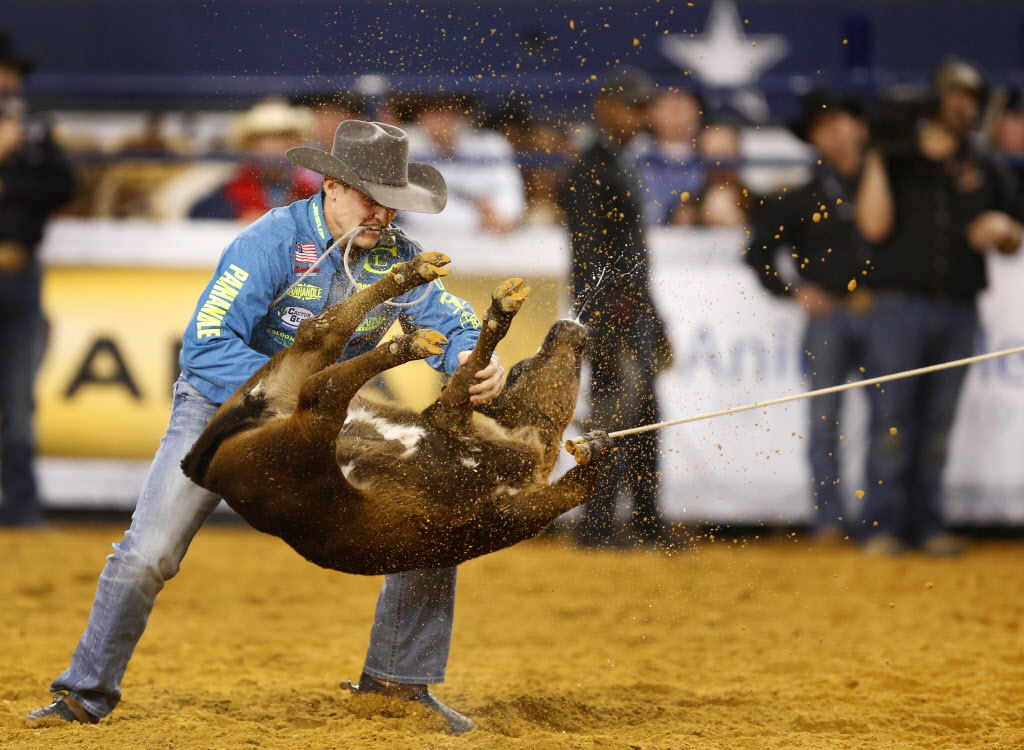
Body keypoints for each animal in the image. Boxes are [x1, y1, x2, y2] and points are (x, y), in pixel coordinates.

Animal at [181, 252, 610, 573]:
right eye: (521, 370)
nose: (571, 330)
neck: (526, 450)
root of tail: (203, 469)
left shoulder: (513, 508)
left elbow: (577, 488)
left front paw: (598, 445)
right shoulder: (448, 420)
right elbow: (468, 374)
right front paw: (501, 311)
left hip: (302, 433)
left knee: (323, 353)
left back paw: (411, 307)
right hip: (304, 433)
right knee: (326, 365)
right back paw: (414, 309)